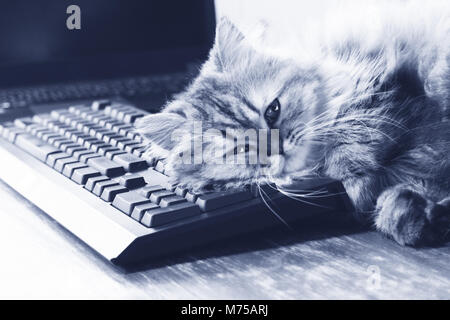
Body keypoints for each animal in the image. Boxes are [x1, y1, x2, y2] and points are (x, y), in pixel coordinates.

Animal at [134, 1, 450, 246]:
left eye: (272, 111)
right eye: (239, 150)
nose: (278, 149)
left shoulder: (382, 85)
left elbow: (356, 133)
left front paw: (356, 182)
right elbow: (397, 202)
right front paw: (414, 219)